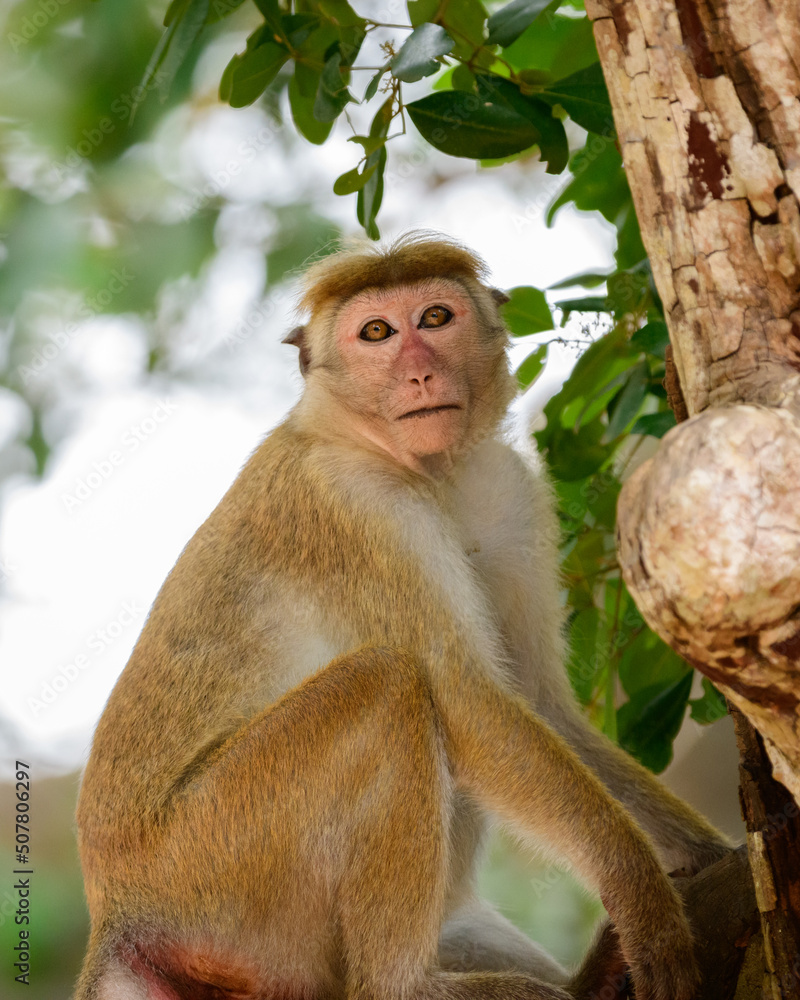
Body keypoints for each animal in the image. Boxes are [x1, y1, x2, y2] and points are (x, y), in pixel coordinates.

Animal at [75, 232, 732, 1000]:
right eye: (377, 333)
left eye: (436, 318)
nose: (420, 374)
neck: (426, 472)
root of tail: (118, 913)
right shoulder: (358, 507)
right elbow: (466, 700)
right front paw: (643, 897)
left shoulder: (509, 490)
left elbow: (542, 702)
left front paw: (713, 853)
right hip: (216, 864)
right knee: (388, 687)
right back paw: (410, 984)